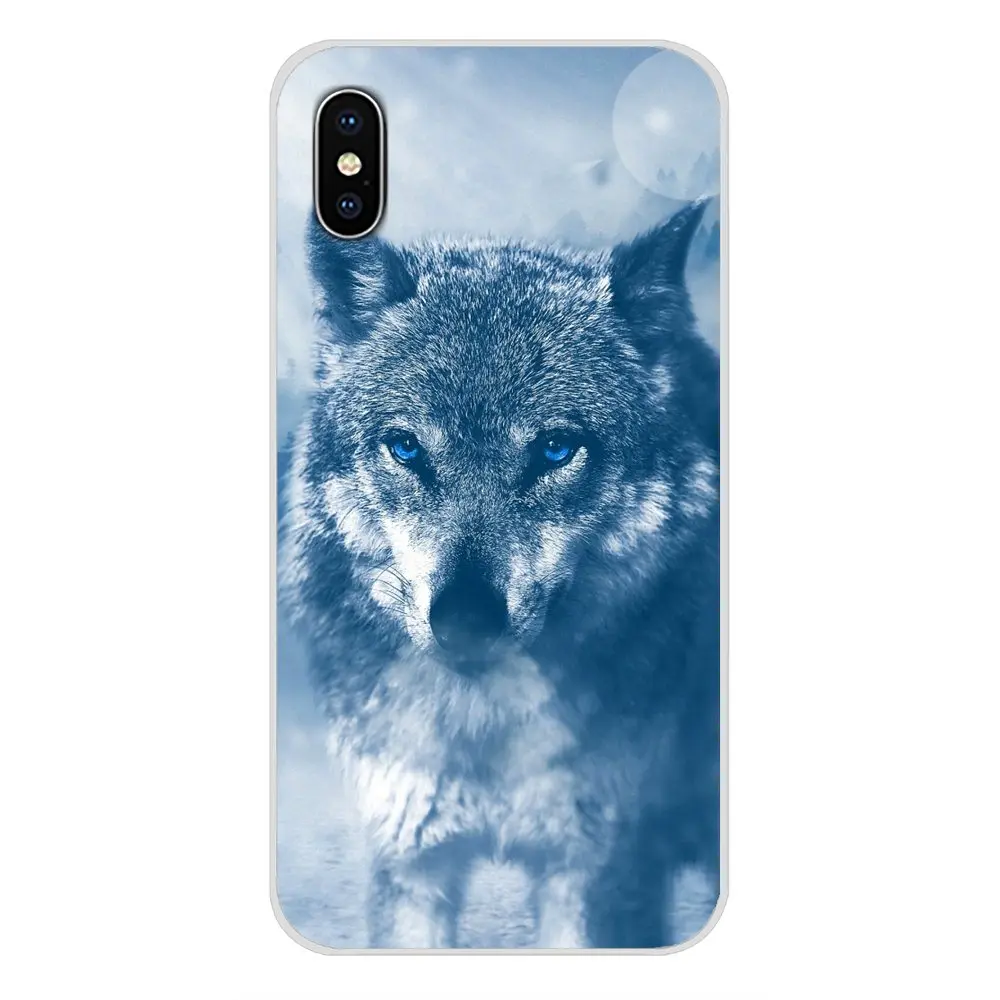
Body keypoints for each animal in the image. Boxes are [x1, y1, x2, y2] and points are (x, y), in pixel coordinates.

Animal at [279, 201, 721, 949]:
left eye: (557, 449)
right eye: (406, 447)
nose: (466, 619)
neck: (482, 732)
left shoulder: (596, 873)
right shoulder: (413, 863)